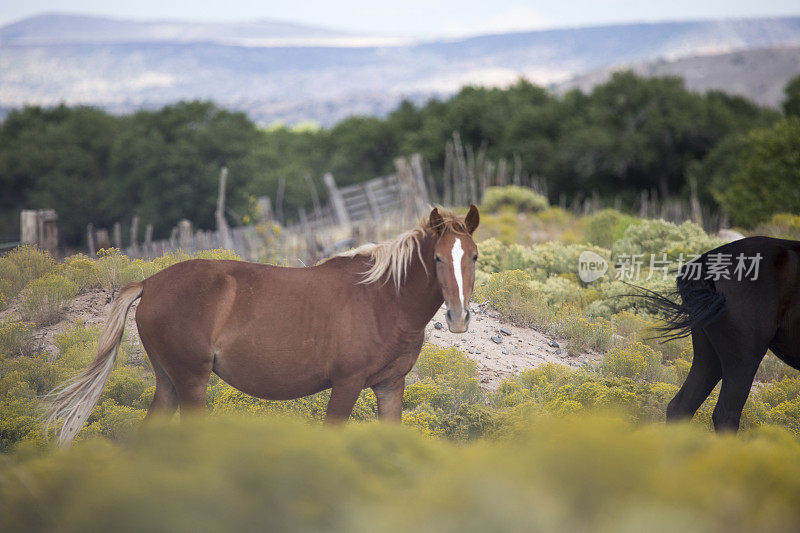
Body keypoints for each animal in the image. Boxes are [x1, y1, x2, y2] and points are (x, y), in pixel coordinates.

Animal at [45, 206, 482, 442]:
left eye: (474, 256)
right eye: (437, 258)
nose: (459, 318)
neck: (382, 299)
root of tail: (149, 283)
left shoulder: (390, 386)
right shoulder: (347, 384)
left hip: (168, 382)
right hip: (191, 382)